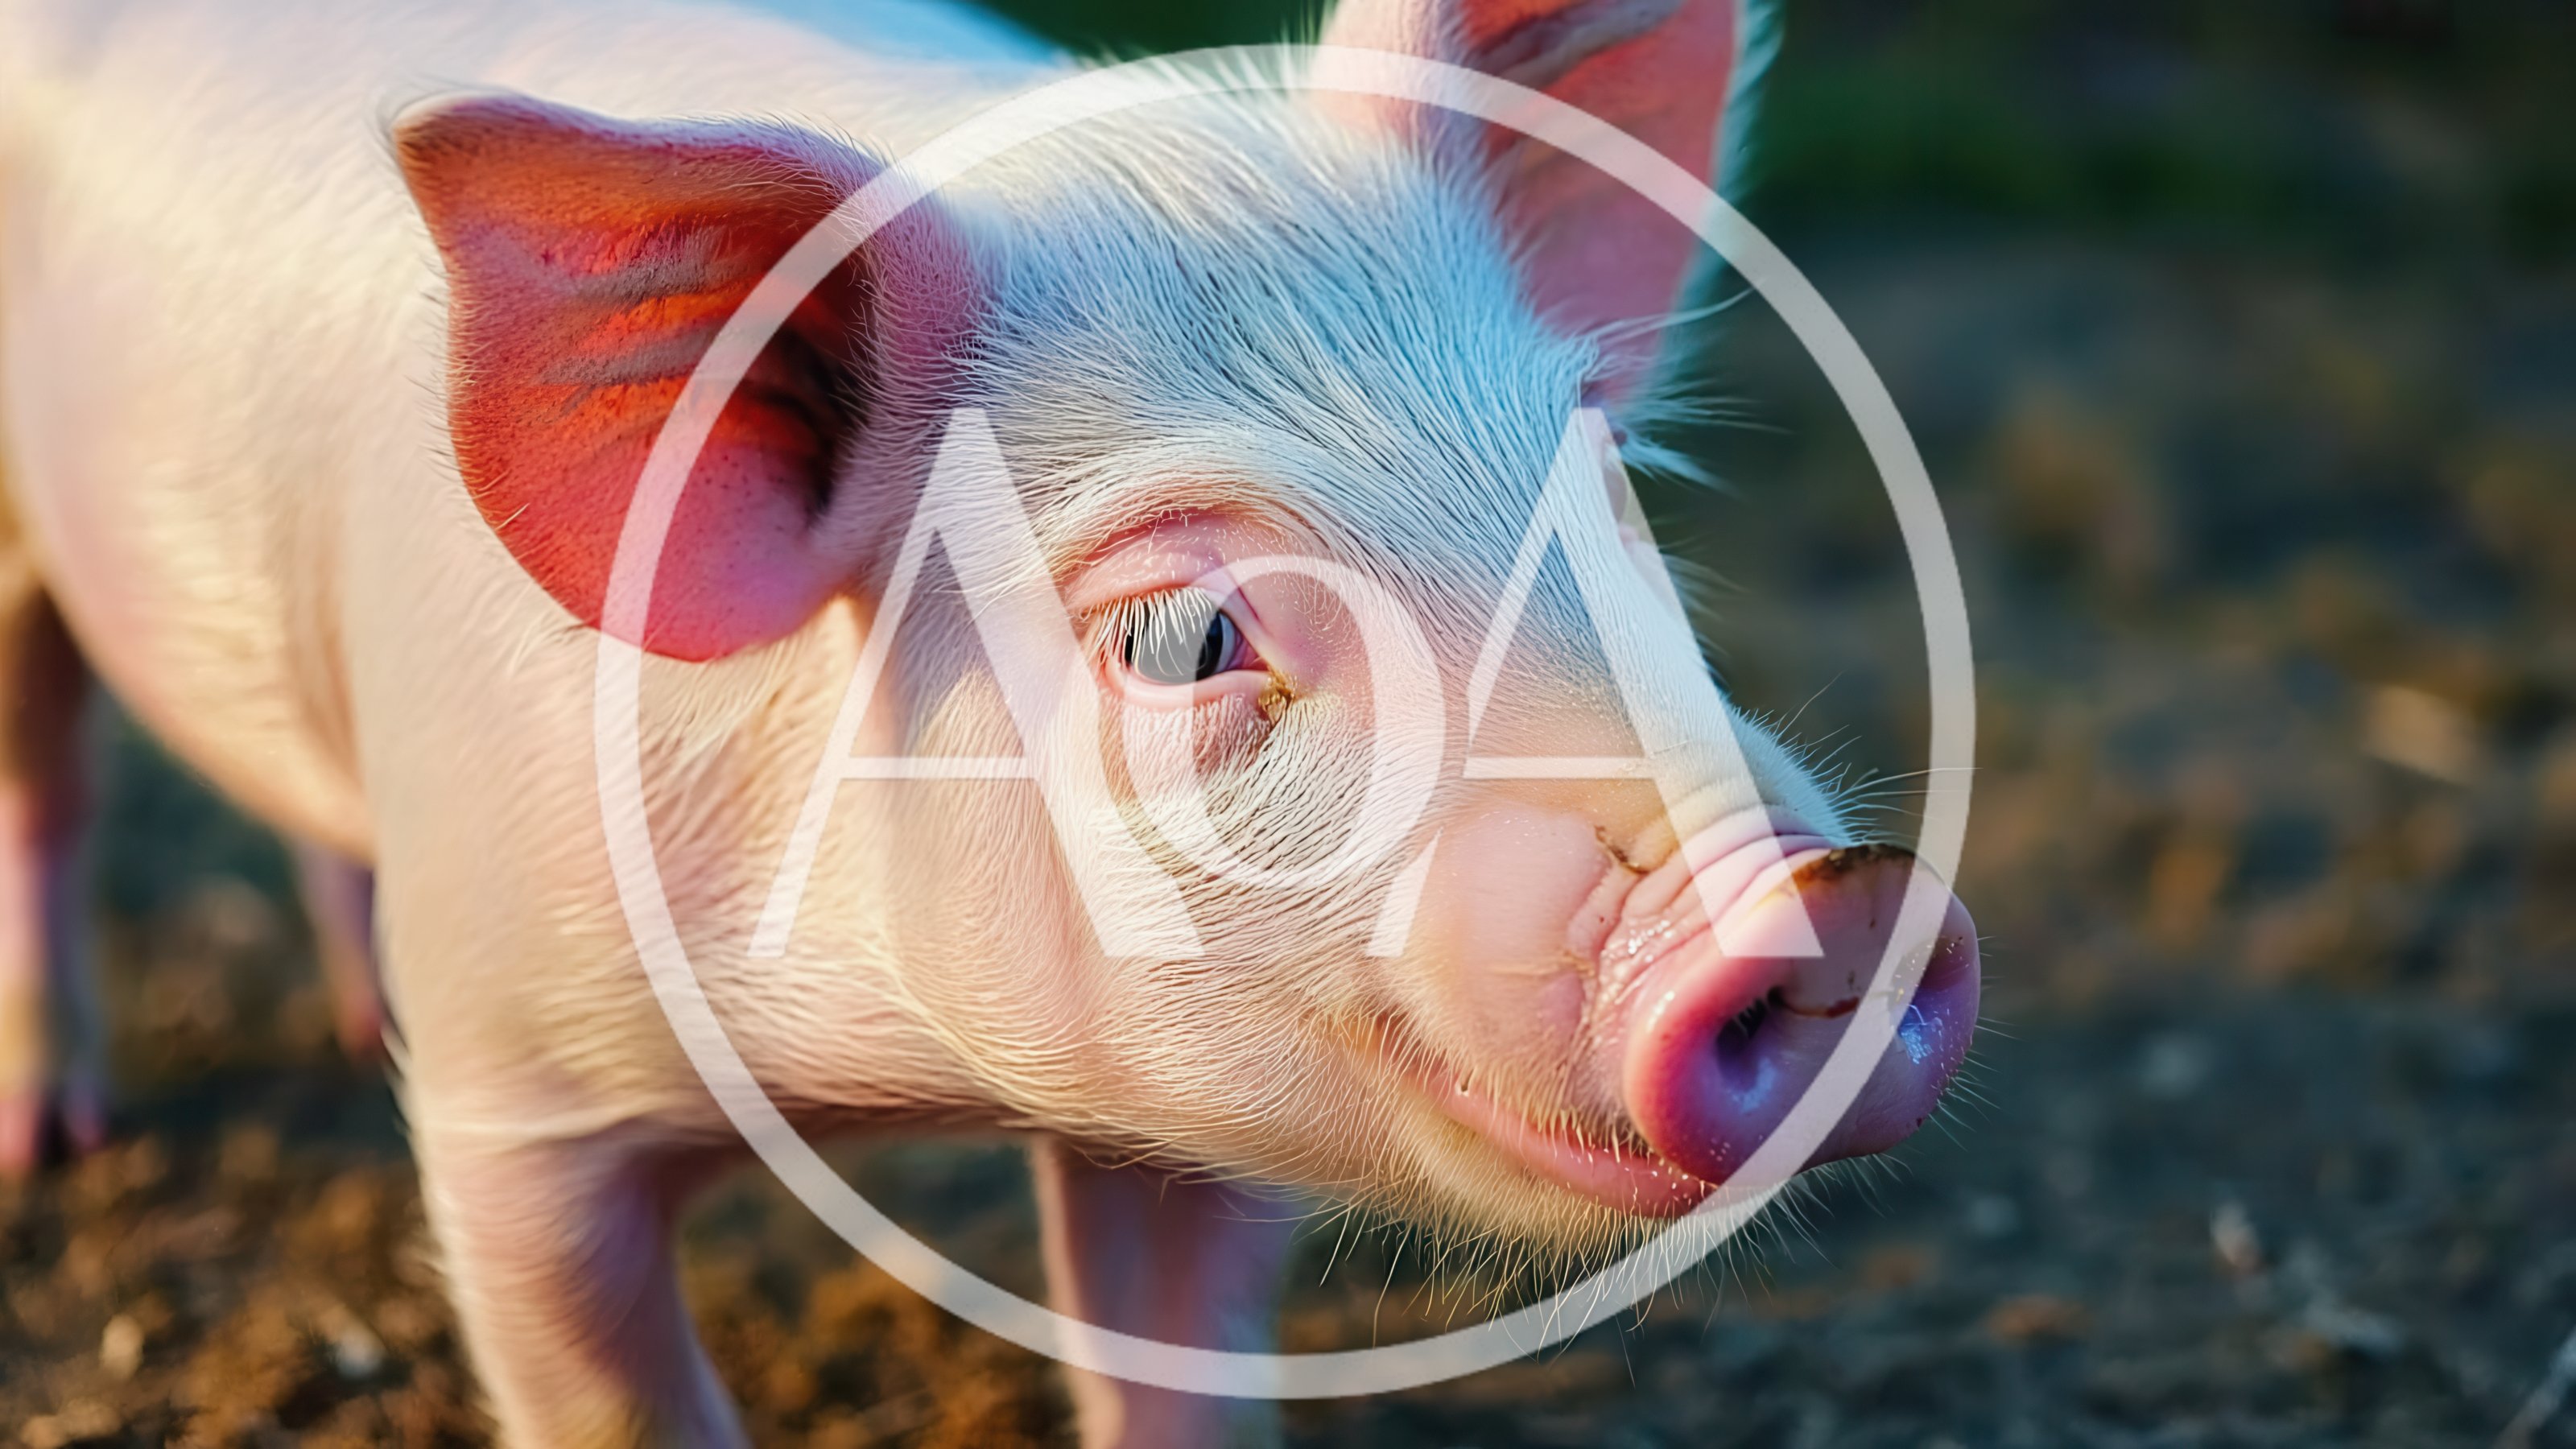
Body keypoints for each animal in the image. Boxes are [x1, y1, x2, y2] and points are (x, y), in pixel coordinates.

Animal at [0, 0, 1983, 1443]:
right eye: (1183, 637)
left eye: (1606, 489)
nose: (1829, 890)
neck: (887, 1081)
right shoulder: (514, 1092)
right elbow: (607, 1382)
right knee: (46, 779)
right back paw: (59, 1139)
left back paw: (350, 1024)